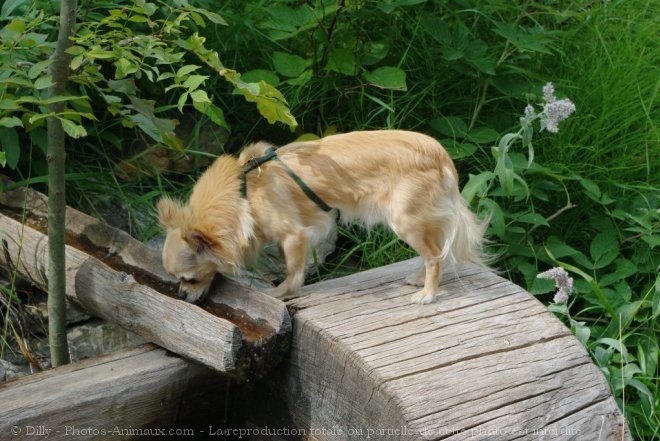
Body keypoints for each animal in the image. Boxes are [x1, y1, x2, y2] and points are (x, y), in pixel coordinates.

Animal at [156, 129, 484, 304]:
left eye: (190, 279)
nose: (181, 295)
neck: (243, 192)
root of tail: (440, 154)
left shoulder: (295, 236)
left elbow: (293, 271)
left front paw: (279, 293)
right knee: (435, 253)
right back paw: (418, 280)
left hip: (406, 222)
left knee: (434, 257)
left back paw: (428, 294)